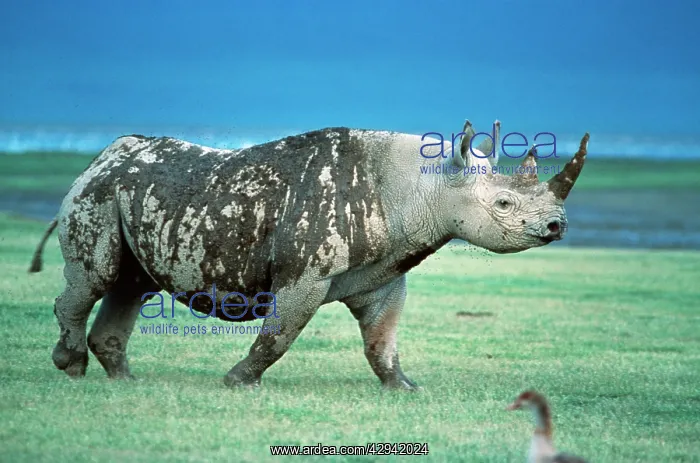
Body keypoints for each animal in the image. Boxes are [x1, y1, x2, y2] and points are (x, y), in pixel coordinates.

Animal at [29, 119, 589, 390]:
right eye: (504, 203)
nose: (556, 226)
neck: (423, 187)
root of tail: (100, 157)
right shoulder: (305, 274)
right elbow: (279, 334)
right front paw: (237, 383)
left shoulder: (385, 273)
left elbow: (382, 339)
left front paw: (405, 388)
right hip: (99, 194)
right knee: (98, 278)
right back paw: (71, 366)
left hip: (129, 194)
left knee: (131, 285)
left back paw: (123, 380)